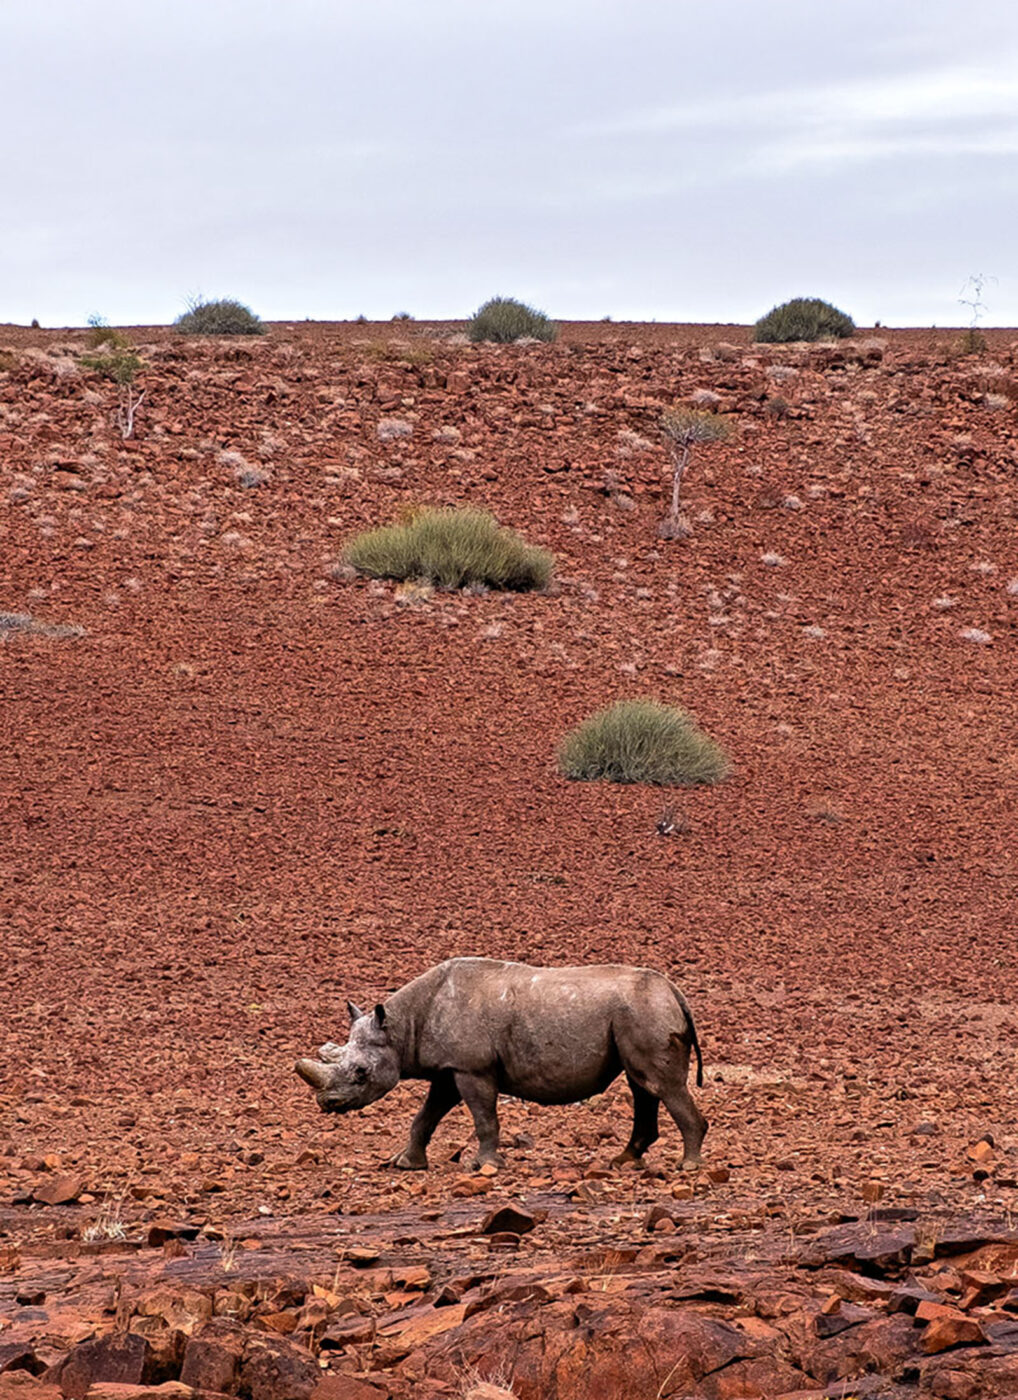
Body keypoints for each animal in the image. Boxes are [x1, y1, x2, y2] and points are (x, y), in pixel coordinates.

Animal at [294, 957, 706, 1172]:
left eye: (361, 1073)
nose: (327, 1104)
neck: (400, 1026)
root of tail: (674, 991)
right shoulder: (449, 1070)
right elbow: (426, 1116)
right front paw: (405, 1164)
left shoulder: (472, 1069)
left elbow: (483, 1117)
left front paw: (483, 1166)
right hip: (638, 1012)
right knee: (643, 1086)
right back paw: (622, 1161)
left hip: (645, 1011)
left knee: (661, 1085)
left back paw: (688, 1167)